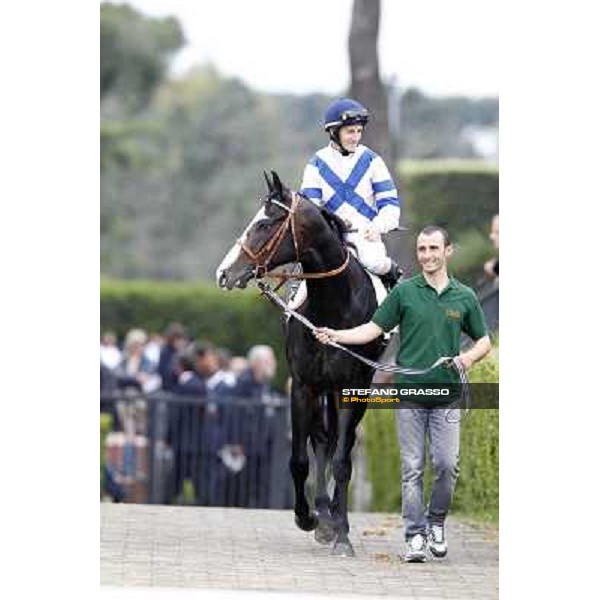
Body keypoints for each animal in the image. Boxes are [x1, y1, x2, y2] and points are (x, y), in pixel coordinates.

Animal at [217, 171, 384, 556]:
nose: (224, 273)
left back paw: (335, 517)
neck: (335, 306)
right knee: (322, 440)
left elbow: (343, 460)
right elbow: (299, 459)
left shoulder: (352, 387)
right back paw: (323, 515)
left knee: (341, 445)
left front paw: (343, 535)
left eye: (264, 224)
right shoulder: (303, 384)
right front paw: (308, 517)